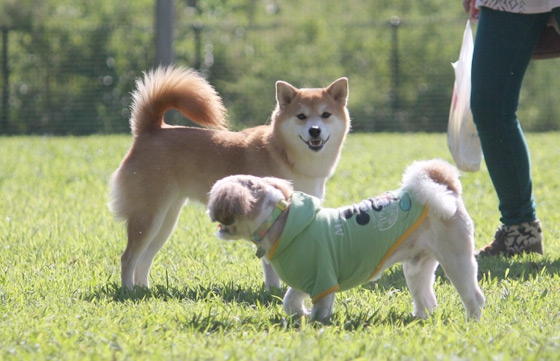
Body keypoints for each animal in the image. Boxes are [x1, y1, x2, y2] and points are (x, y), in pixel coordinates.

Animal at [109, 67, 350, 290]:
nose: (314, 131)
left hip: (166, 221)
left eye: (325, 115)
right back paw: (129, 291)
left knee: (143, 260)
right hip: (148, 217)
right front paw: (274, 292)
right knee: (128, 257)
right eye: (301, 116)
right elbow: (272, 269)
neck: (285, 155)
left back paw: (143, 290)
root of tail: (150, 131)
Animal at [208, 159, 484, 320]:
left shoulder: (323, 278)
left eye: (216, 200)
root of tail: (446, 188)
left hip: (456, 259)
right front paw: (299, 315)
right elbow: (290, 300)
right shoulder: (305, 277)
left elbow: (320, 310)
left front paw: (315, 323)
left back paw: (472, 320)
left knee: (473, 296)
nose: (210, 213)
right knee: (426, 298)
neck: (279, 221)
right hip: (418, 265)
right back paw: (419, 318)